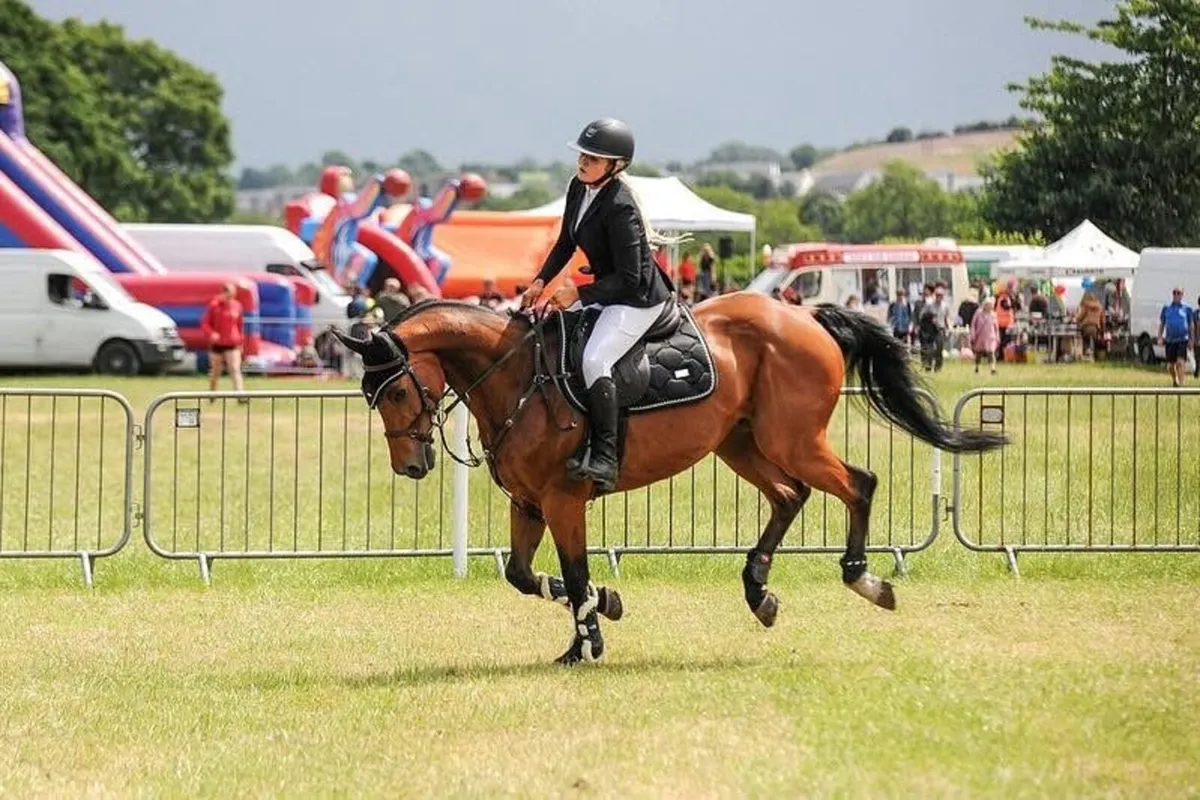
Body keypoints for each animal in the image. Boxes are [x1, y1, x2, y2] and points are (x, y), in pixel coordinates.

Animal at [331, 293, 1006, 665]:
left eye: (395, 391)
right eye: (371, 396)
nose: (411, 466)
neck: (516, 376)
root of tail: (804, 315)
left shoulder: (563, 501)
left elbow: (575, 574)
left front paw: (587, 645)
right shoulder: (528, 504)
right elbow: (525, 576)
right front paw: (605, 609)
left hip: (792, 440)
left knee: (857, 483)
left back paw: (865, 579)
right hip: (740, 444)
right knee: (790, 496)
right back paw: (758, 592)